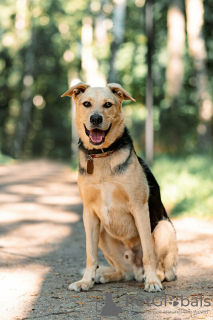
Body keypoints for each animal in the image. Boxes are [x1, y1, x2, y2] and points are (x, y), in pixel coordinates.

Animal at [61, 82, 178, 292]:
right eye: (86, 104)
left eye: (108, 104)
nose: (96, 118)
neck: (102, 155)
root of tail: (136, 269)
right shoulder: (89, 212)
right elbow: (90, 254)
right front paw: (86, 281)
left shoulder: (139, 207)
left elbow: (148, 252)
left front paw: (152, 281)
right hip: (103, 233)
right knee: (123, 272)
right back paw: (103, 277)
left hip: (163, 227)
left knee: (165, 271)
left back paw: (153, 277)